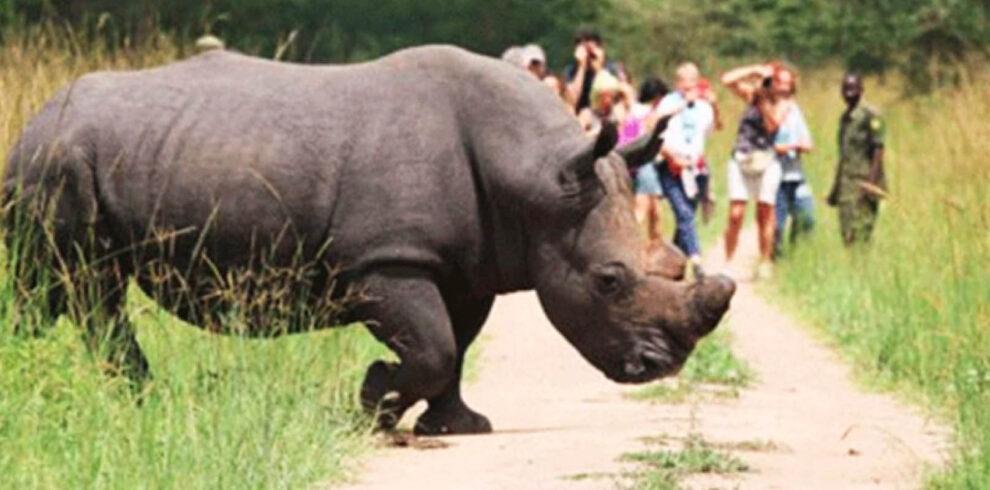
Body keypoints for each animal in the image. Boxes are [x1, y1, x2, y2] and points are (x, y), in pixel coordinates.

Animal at [4, 46, 734, 435]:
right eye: (609, 281)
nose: (660, 366)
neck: (536, 178)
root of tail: (35, 115)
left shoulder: (466, 263)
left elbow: (455, 345)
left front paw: (456, 426)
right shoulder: (386, 260)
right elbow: (433, 345)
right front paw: (371, 402)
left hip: (73, 157)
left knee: (68, 294)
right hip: (57, 162)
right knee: (75, 288)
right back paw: (109, 393)